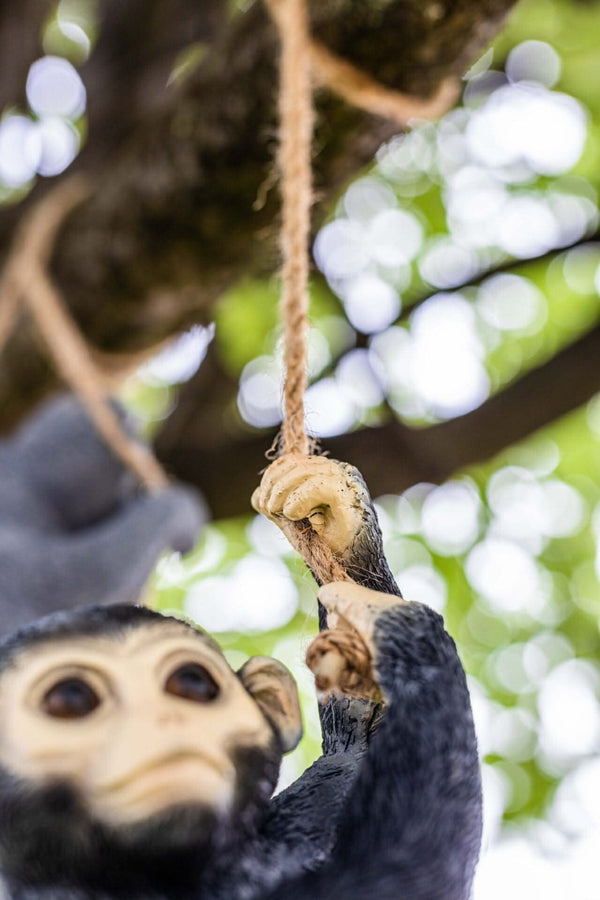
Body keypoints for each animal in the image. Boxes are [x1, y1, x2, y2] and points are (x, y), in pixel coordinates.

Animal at [0, 452, 482, 900]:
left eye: (192, 683)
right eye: (70, 700)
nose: (162, 720)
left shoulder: (308, 809)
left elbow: (352, 758)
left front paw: (339, 518)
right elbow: (386, 876)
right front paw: (400, 629)